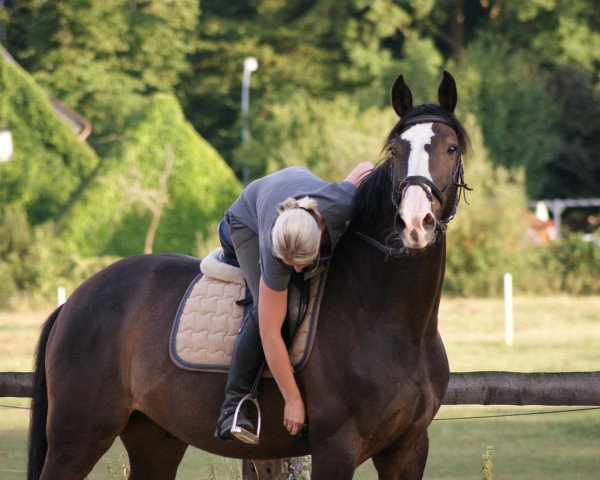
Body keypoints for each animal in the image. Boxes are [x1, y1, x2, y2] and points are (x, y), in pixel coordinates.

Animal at [27, 71, 468, 480]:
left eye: (451, 147)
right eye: (396, 150)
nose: (414, 224)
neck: (391, 318)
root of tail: (75, 300)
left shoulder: (409, 449)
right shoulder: (336, 448)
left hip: (154, 439)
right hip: (77, 438)